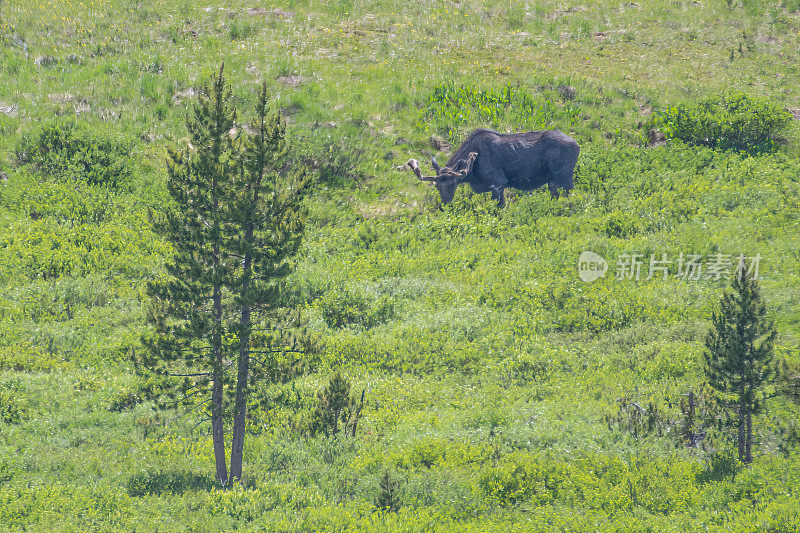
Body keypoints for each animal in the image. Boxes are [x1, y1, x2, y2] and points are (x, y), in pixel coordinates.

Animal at [410, 128, 580, 207]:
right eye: (437, 186)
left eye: (453, 184)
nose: (445, 203)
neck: (474, 173)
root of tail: (578, 145)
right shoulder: (500, 187)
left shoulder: (498, 183)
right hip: (553, 182)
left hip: (565, 177)